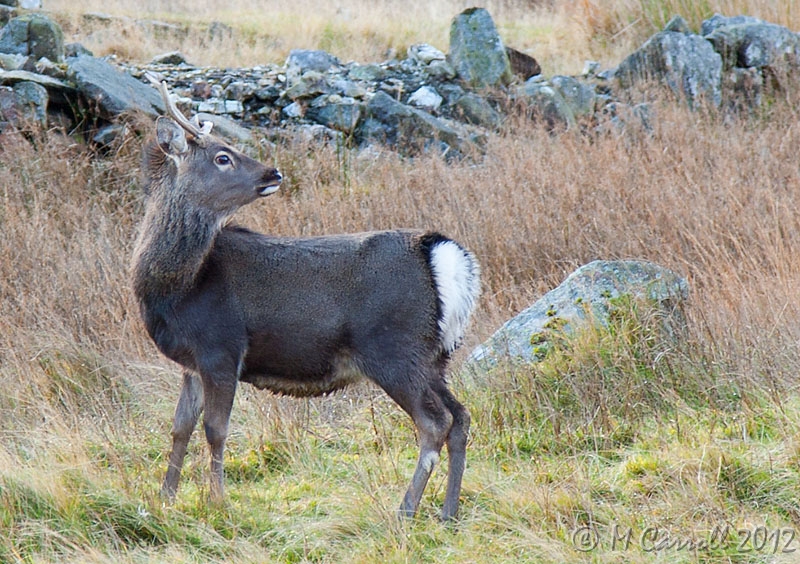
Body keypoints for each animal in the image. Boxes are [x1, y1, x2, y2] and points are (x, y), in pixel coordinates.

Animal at [132, 77, 482, 524]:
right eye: (222, 157)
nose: (274, 172)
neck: (179, 287)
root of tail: (443, 255)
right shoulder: (191, 363)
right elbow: (179, 428)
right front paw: (165, 499)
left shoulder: (222, 347)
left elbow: (216, 430)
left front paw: (218, 501)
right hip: (435, 357)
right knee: (461, 416)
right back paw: (448, 512)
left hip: (393, 349)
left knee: (434, 423)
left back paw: (405, 509)